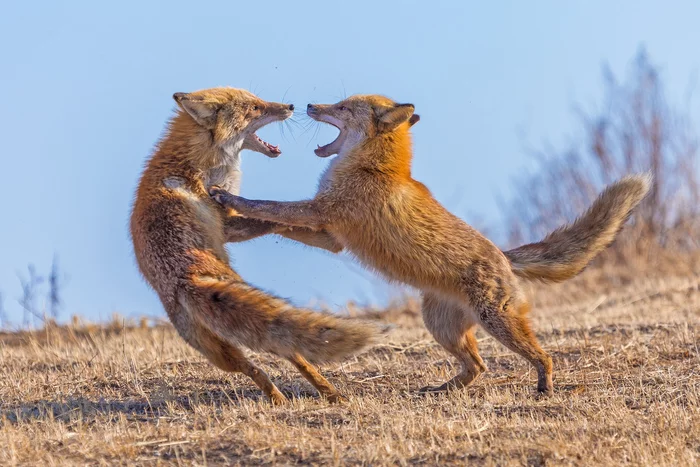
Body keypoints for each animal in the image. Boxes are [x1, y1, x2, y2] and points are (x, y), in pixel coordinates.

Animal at [130, 88, 382, 406]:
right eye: (254, 108)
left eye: (258, 100)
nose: (291, 106)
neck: (195, 164)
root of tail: (185, 278)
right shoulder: (227, 223)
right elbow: (268, 219)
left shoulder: (228, 230)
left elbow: (274, 220)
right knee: (286, 356)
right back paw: (304, 395)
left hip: (218, 352)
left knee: (261, 365)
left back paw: (299, 395)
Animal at [209, 96, 652, 398]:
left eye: (344, 106)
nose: (309, 104)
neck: (372, 168)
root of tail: (504, 257)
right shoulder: (332, 234)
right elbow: (273, 222)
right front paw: (234, 223)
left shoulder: (322, 212)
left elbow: (269, 206)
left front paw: (229, 199)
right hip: (440, 325)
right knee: (478, 366)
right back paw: (443, 391)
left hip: (497, 322)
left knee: (541, 356)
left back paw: (543, 386)